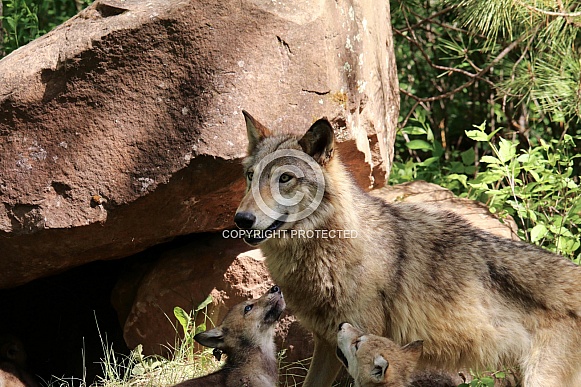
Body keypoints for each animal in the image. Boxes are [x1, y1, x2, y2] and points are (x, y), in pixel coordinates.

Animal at [233, 110, 580, 386]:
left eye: (285, 178)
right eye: (250, 176)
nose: (242, 219)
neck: (331, 251)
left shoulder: (359, 345)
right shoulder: (327, 344)